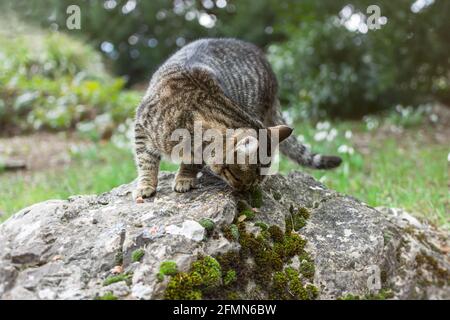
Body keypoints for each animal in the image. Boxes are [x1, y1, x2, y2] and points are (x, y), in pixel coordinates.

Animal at [134, 38, 342, 201]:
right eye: (240, 178)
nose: (246, 191)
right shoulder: (141, 128)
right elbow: (146, 161)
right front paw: (146, 184)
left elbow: (191, 162)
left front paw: (185, 177)